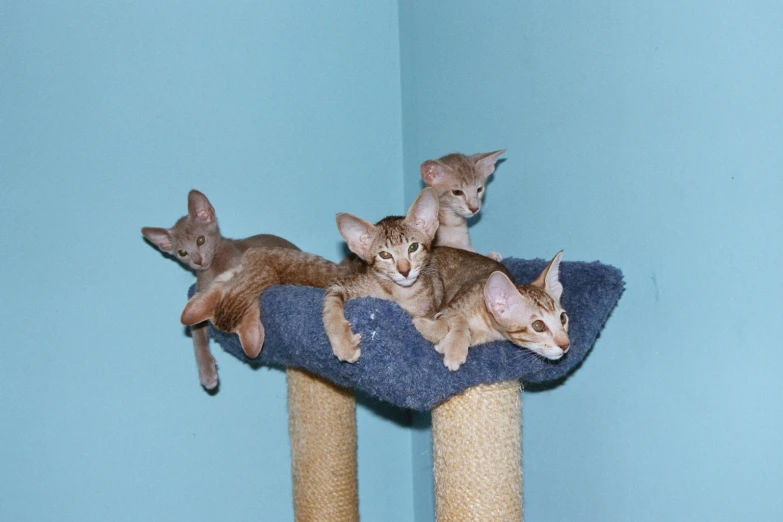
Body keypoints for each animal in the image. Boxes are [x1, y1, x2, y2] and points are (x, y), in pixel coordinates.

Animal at [142, 189, 298, 388]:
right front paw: (207, 374)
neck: (213, 268)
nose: (198, 261)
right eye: (182, 252)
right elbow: (196, 334)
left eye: (201, 240)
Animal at [414, 251, 572, 370]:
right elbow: (458, 318)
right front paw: (455, 349)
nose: (565, 345)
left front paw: (448, 344)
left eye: (562, 318)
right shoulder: (447, 309)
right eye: (538, 326)